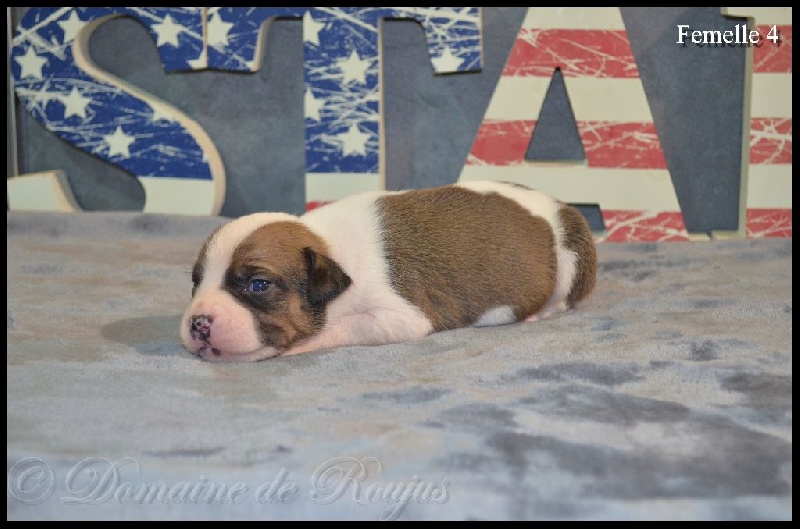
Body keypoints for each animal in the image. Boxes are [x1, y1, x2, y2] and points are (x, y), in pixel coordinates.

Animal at [180, 181, 597, 362]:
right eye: (195, 282)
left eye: (258, 284)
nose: (198, 323)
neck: (329, 246)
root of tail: (558, 202)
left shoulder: (399, 317)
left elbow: (349, 326)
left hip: (573, 252)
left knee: (563, 300)